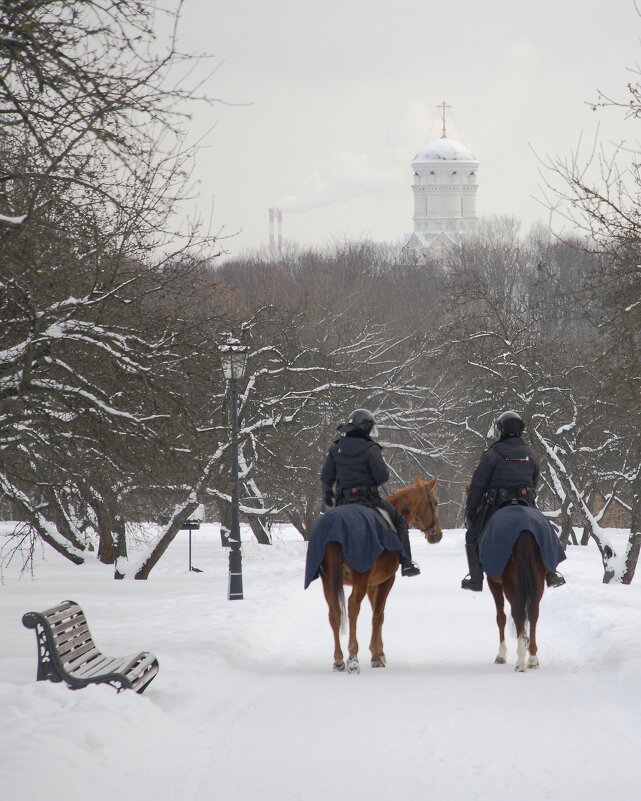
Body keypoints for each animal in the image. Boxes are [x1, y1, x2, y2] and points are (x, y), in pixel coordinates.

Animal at [316, 476, 438, 676]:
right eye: (434, 503)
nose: (437, 534)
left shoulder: (372, 584)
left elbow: (375, 612)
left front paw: (378, 652)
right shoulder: (386, 581)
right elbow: (379, 615)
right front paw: (377, 657)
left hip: (328, 580)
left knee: (334, 611)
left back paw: (339, 660)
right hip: (360, 577)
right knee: (353, 606)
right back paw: (353, 658)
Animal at [488, 528, 548, 672]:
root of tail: (525, 531)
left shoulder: (494, 583)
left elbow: (501, 618)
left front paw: (501, 655)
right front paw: (525, 638)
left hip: (510, 583)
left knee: (518, 613)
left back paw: (520, 660)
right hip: (538, 582)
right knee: (533, 613)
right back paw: (532, 658)